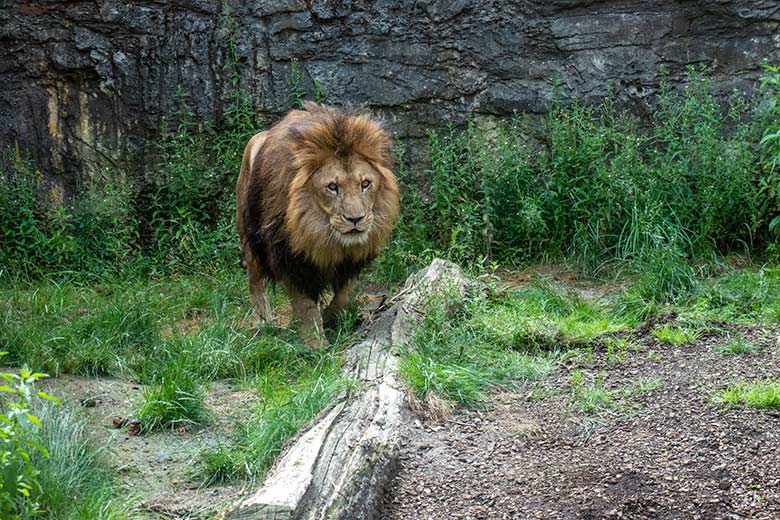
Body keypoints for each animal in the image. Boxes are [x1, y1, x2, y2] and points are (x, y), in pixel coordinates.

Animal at [235, 101, 400, 346]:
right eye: (332, 187)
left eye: (365, 184)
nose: (355, 219)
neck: (320, 234)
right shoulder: (291, 260)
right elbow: (306, 306)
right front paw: (316, 345)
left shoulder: (352, 260)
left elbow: (343, 296)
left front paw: (331, 317)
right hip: (249, 239)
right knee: (255, 282)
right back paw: (263, 324)